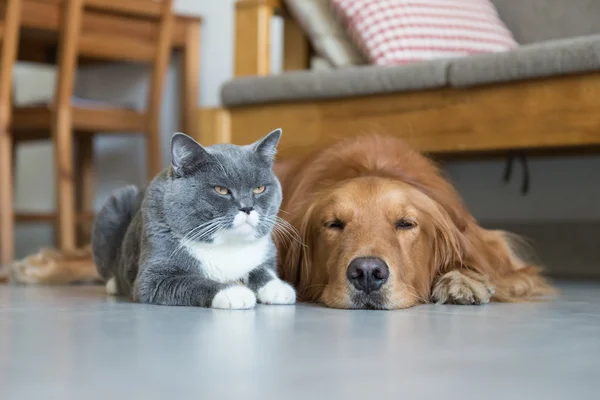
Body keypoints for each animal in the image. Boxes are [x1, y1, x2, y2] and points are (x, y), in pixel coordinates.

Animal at [91, 130, 296, 310]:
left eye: (259, 188)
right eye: (221, 190)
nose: (247, 207)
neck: (226, 245)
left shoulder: (265, 251)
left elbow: (261, 269)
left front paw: (278, 288)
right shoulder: (152, 278)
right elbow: (192, 281)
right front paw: (234, 293)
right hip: (115, 204)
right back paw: (113, 284)